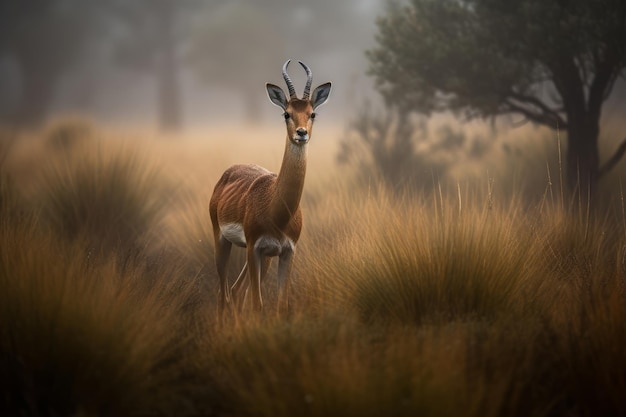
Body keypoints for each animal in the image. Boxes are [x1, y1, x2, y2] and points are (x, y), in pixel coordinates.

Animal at [208, 58, 332, 312]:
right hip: (223, 242)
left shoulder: (287, 252)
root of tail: (225, 175)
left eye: (312, 113)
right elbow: (257, 305)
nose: (301, 133)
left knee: (236, 291)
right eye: (287, 113)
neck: (277, 210)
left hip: (262, 258)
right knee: (223, 294)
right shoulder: (254, 248)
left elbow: (281, 305)